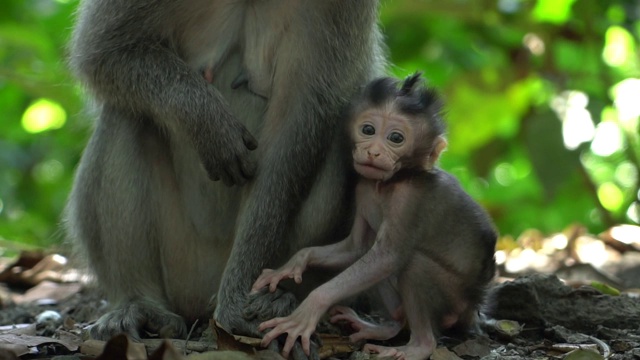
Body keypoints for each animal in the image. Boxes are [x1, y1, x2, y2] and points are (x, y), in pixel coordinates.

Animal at [66, 0, 384, 350]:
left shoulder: (343, 8)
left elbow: (295, 124)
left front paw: (237, 298)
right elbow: (106, 52)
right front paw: (207, 121)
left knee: (338, 125)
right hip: (182, 265)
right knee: (127, 112)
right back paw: (139, 305)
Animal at [250, 73, 496, 360]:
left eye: (396, 138)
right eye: (368, 130)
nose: (374, 152)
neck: (389, 183)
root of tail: (474, 307)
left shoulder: (408, 199)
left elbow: (387, 257)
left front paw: (310, 308)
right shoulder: (364, 187)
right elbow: (357, 248)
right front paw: (292, 265)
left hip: (453, 300)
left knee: (413, 266)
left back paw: (416, 346)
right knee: (377, 268)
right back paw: (385, 327)